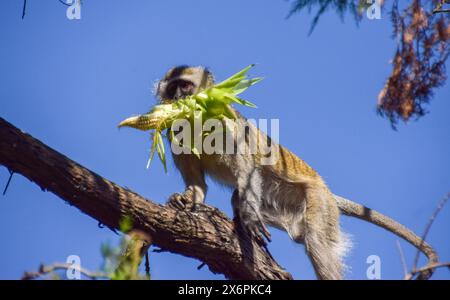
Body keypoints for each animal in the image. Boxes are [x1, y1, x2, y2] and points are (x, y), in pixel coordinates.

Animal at [156, 65, 438, 278]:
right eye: (172, 88)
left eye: (185, 86)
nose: (179, 98)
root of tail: (327, 191)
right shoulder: (173, 130)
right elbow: (198, 185)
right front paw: (183, 200)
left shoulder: (225, 118)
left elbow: (246, 164)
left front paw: (249, 217)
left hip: (318, 201)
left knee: (316, 241)